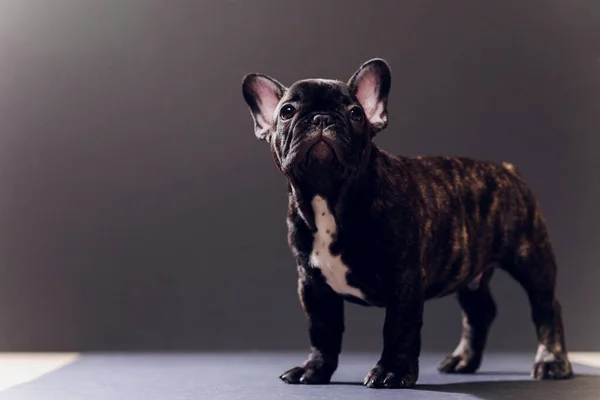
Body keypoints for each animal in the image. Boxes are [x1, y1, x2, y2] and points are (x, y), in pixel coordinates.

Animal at [239, 58, 572, 388]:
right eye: (287, 111)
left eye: (355, 113)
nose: (321, 118)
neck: (330, 196)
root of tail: (509, 170)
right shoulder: (312, 285)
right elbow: (322, 330)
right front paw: (315, 370)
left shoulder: (404, 280)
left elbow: (399, 329)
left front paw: (392, 372)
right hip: (469, 269)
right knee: (479, 312)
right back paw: (463, 359)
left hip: (530, 258)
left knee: (546, 307)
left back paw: (552, 362)